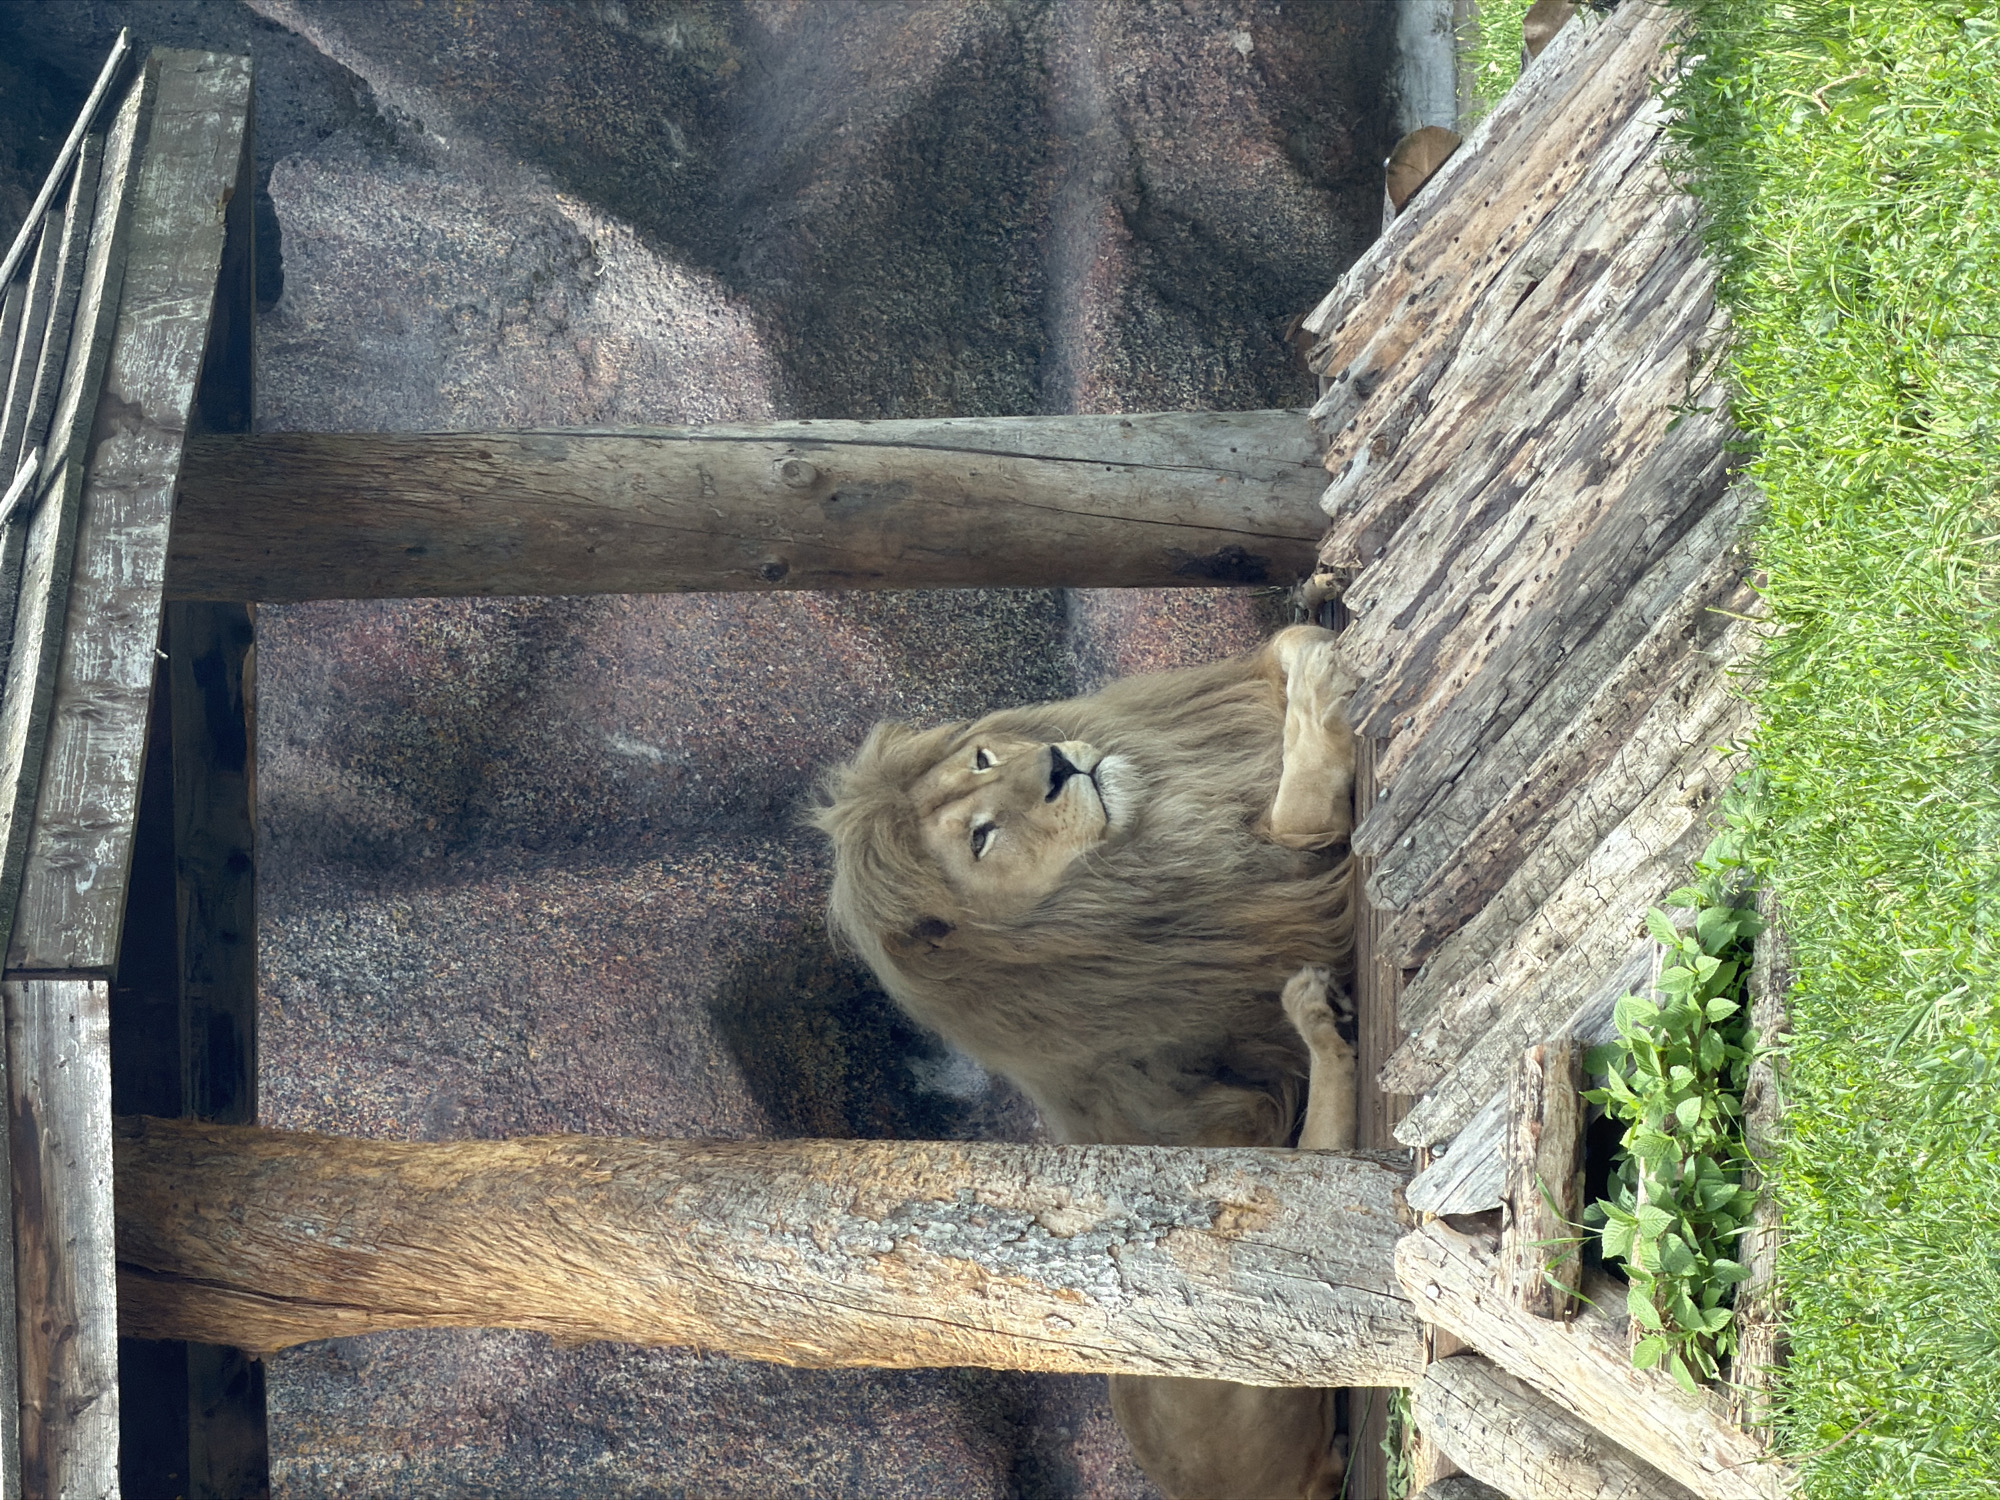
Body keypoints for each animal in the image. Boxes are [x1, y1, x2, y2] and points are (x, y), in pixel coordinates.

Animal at [810, 624, 1363, 1500]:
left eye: (983, 757)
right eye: (980, 838)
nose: (1059, 769)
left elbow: (1272, 658)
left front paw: (1305, 642)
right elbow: (1301, 810)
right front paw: (1318, 683)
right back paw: (1315, 1010)